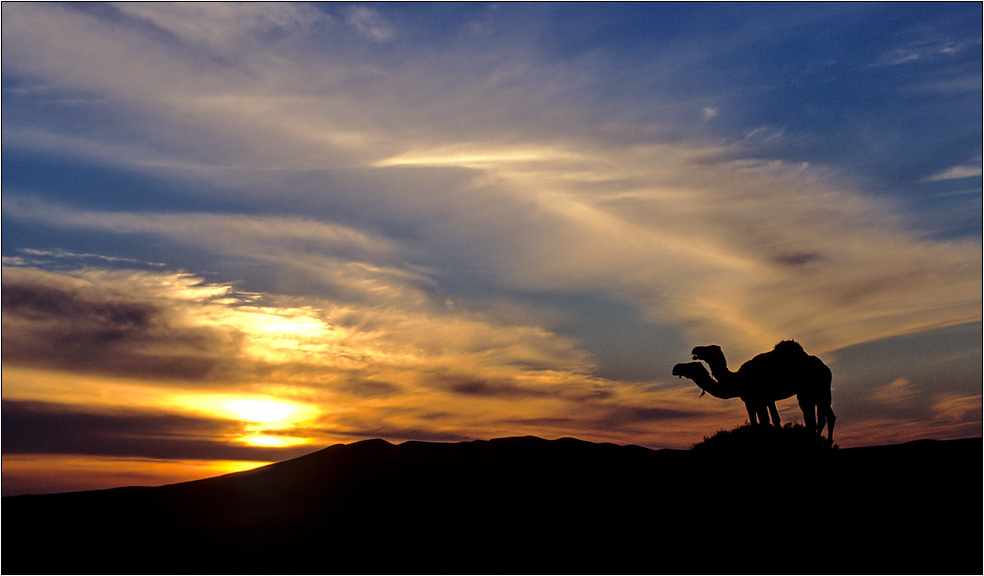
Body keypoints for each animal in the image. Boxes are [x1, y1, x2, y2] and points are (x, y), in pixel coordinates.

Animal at [676, 340, 836, 444]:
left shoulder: (756, 398)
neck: (737, 380)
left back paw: (825, 443)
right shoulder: (760, 399)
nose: (676, 368)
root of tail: (826, 368)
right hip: (811, 392)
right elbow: (768, 421)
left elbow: (762, 422)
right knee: (819, 417)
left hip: (816, 389)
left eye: (709, 349)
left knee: (821, 417)